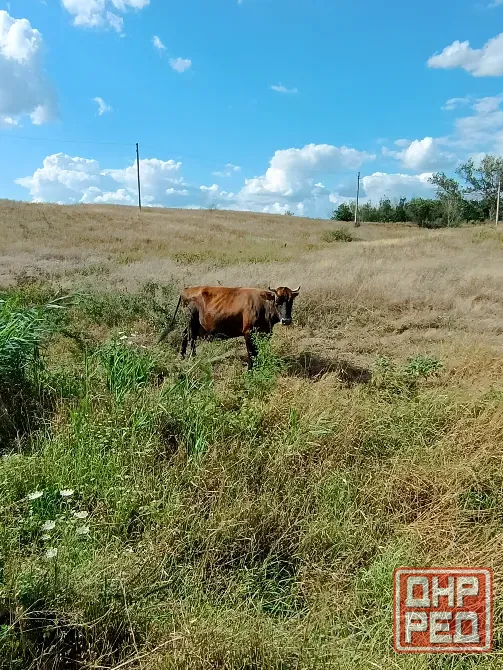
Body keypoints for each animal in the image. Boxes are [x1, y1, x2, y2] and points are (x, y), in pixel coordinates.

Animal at [158, 285, 300, 368]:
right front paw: (251, 368)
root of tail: (187, 289)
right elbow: (251, 352)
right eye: (277, 302)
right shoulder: (248, 332)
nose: (286, 320)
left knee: (184, 334)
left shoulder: (265, 333)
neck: (263, 305)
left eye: (290, 302)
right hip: (191, 320)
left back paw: (182, 356)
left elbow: (258, 351)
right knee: (191, 338)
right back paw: (193, 358)